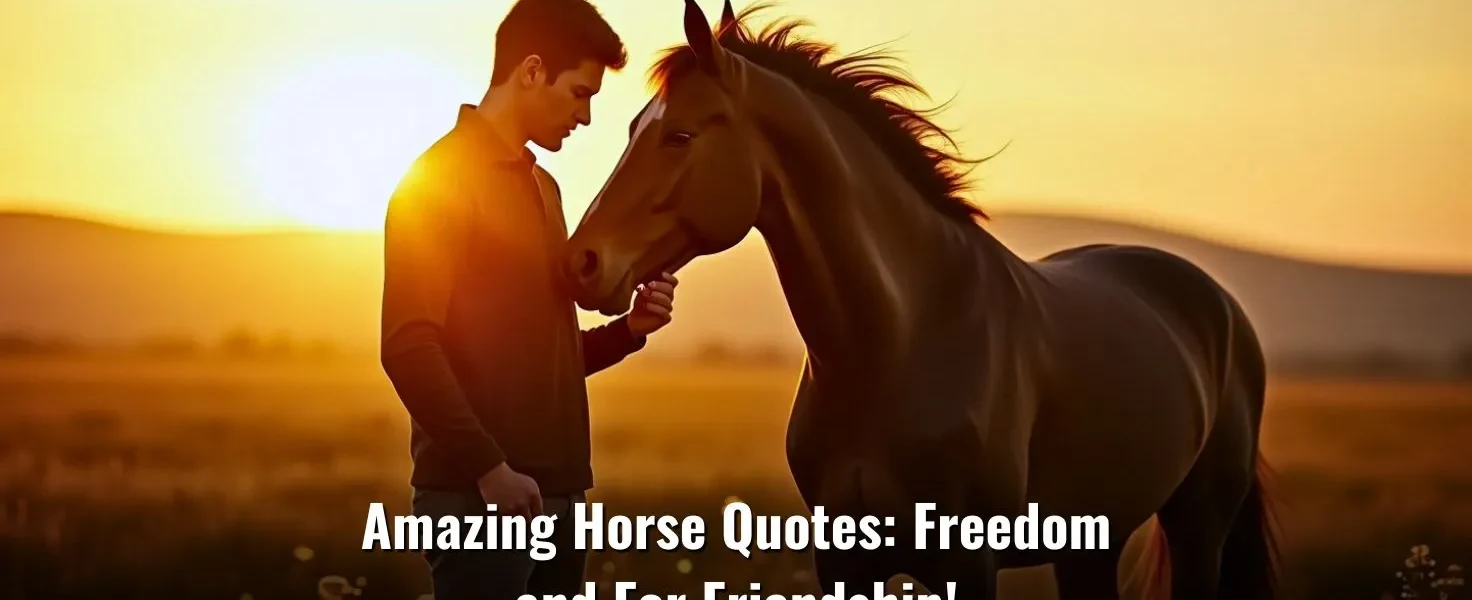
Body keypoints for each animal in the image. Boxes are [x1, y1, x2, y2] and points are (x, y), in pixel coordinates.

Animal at [561, 2, 1279, 598]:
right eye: (632, 128)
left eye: (679, 135)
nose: (581, 263)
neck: (900, 341)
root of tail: (1215, 300)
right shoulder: (843, 562)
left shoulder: (969, 565)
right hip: (1093, 544)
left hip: (1199, 528)